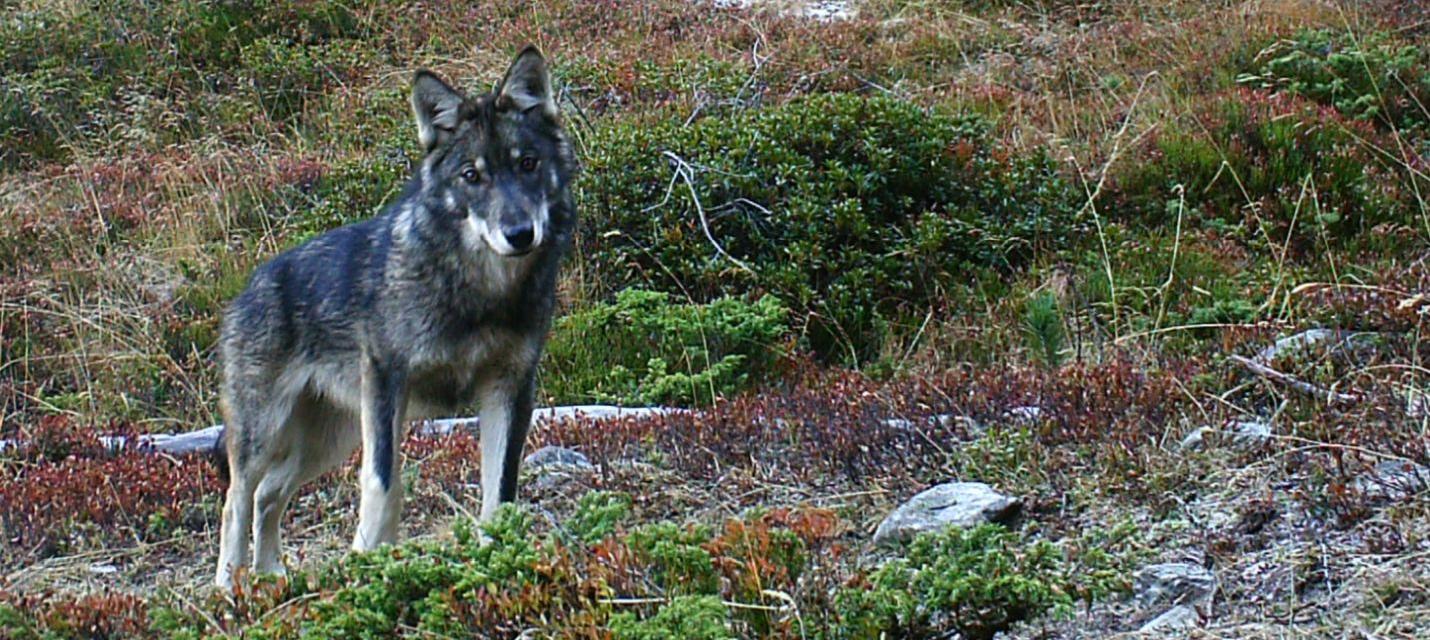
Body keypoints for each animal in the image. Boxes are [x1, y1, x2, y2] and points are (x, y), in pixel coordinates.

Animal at [213, 47, 575, 588]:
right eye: (472, 175)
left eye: (528, 164)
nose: (519, 234)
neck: (479, 291)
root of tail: (248, 288)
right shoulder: (388, 382)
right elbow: (384, 485)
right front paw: (369, 562)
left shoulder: (510, 387)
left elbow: (501, 493)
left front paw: (497, 562)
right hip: (268, 433)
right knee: (236, 501)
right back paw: (228, 588)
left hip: (326, 442)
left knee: (267, 496)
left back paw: (273, 579)